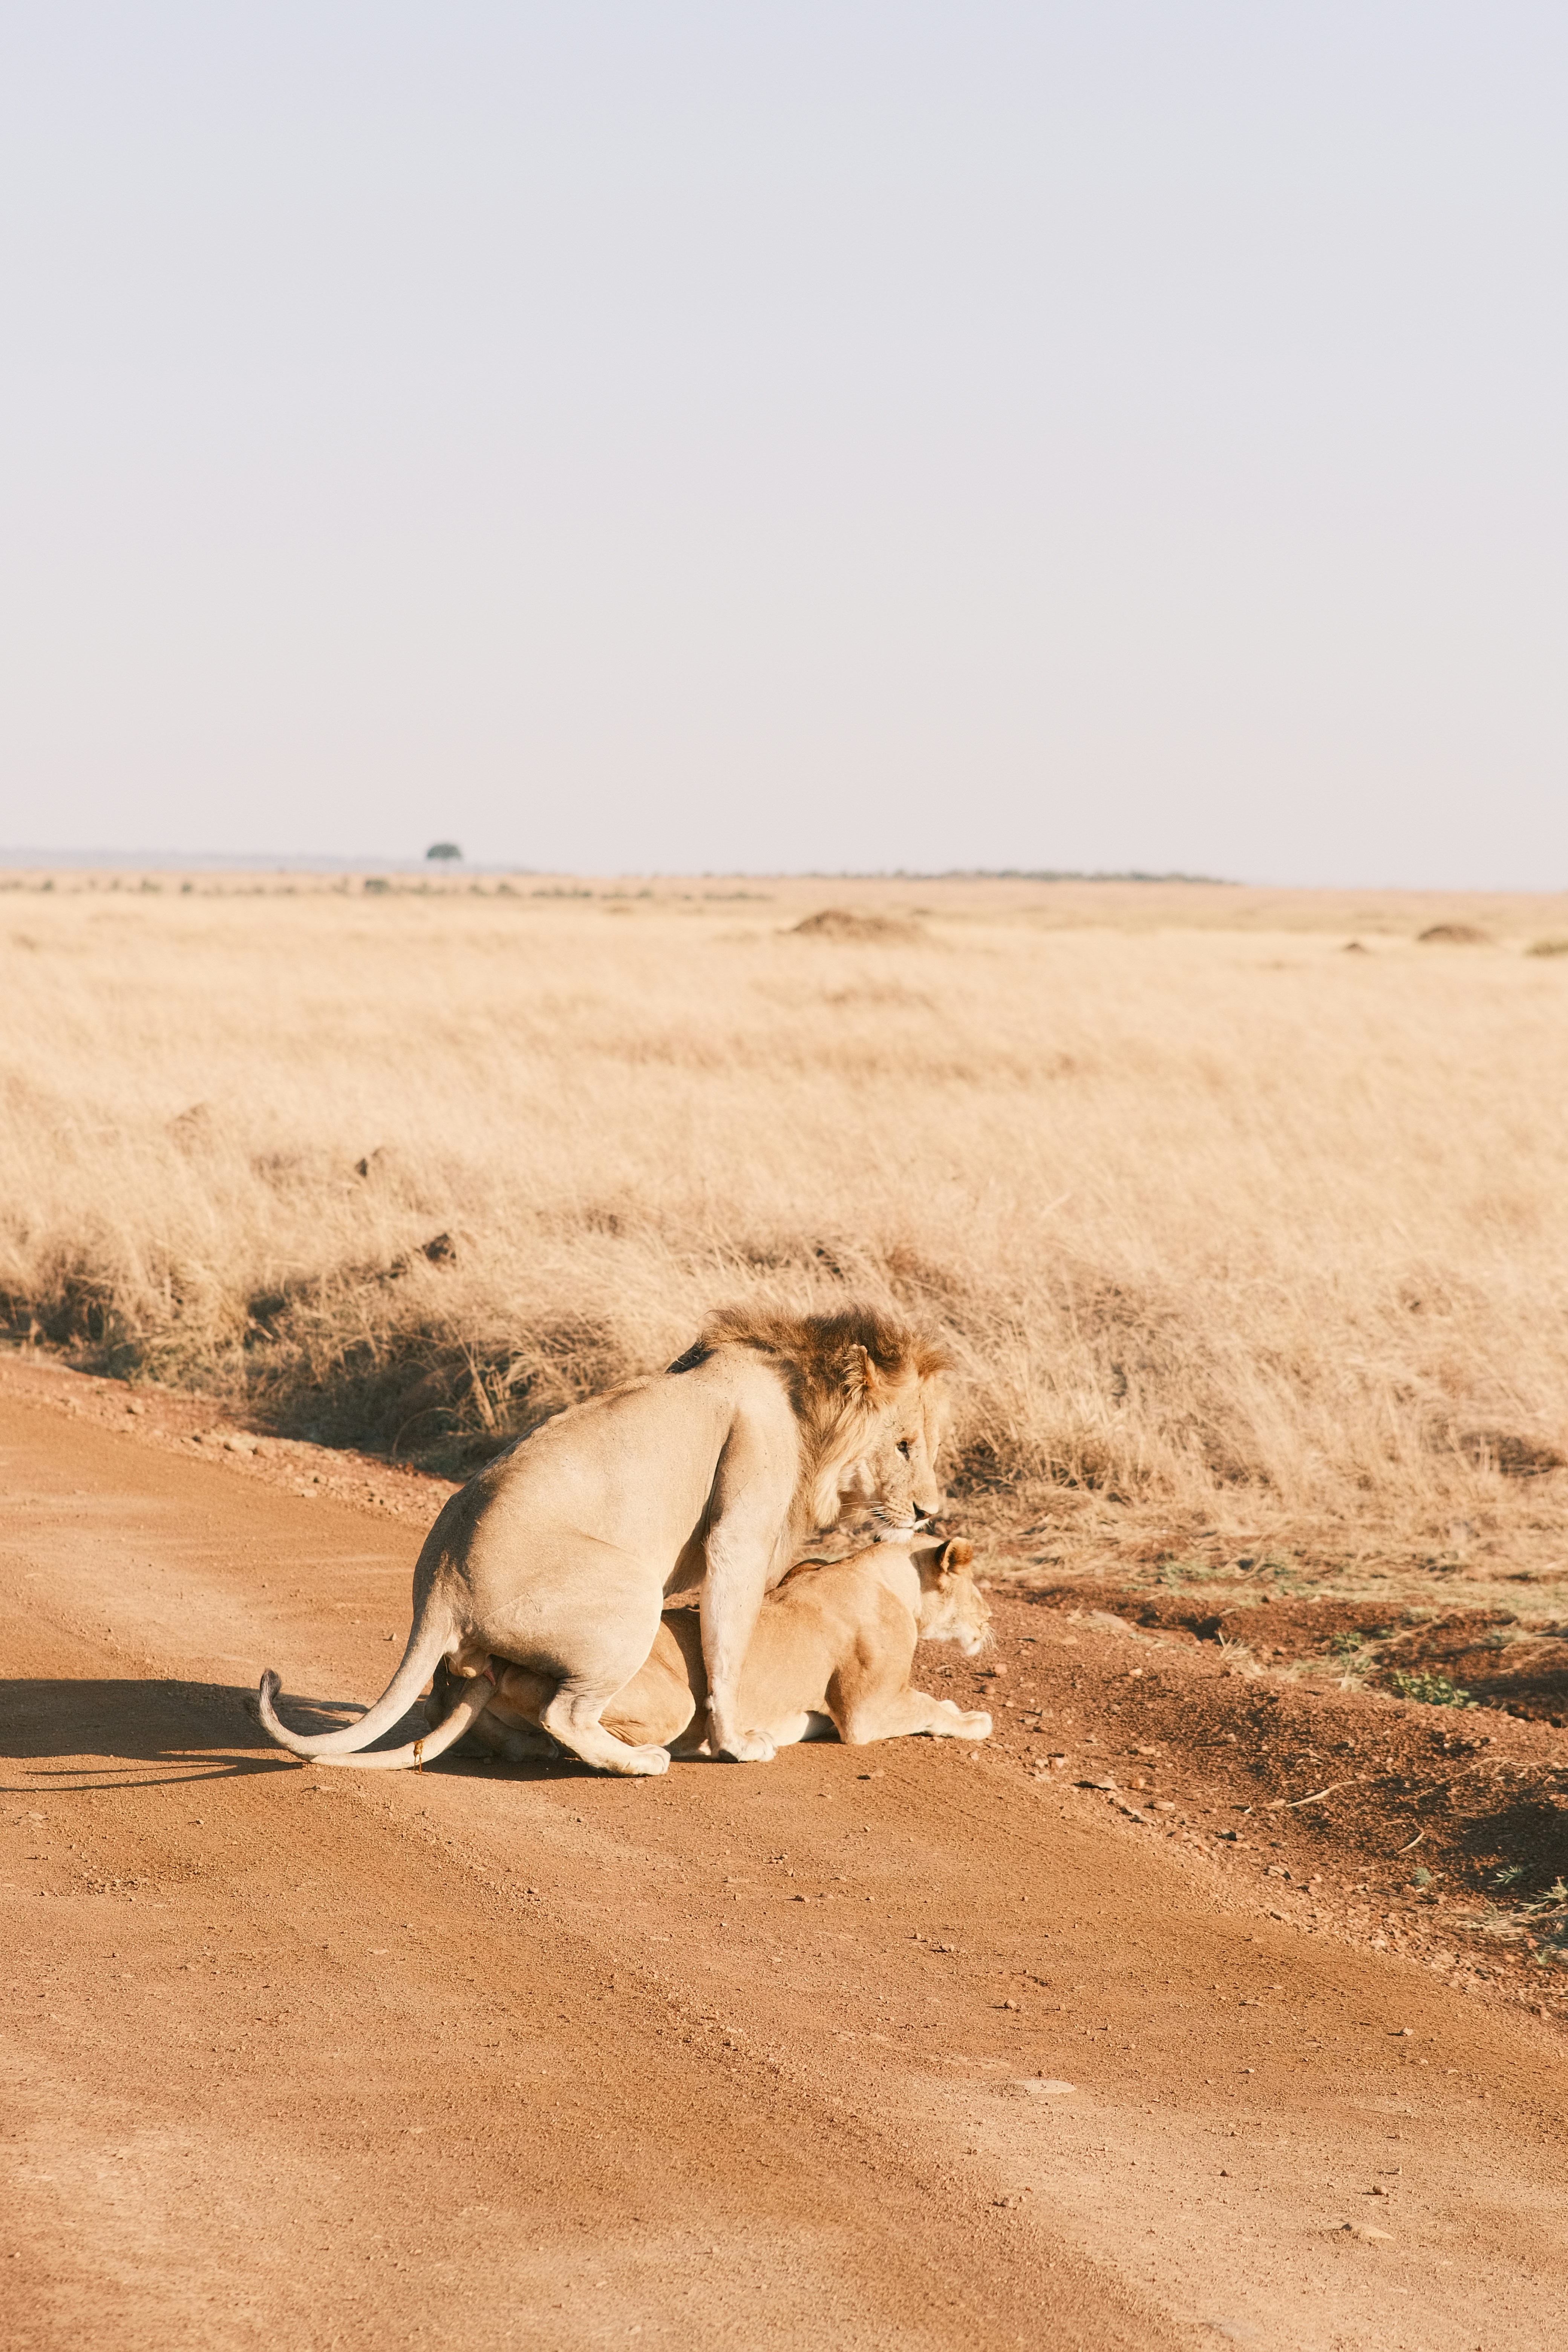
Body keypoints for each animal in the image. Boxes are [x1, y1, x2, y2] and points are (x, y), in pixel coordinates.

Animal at [257, 1306, 950, 1776]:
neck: (806, 1405)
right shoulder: (740, 1533)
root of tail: (439, 1587)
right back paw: (636, 1760)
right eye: (903, 1445)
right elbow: (728, 1648)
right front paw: (737, 1743)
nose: (929, 1512)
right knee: (564, 1714)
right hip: (634, 1595)